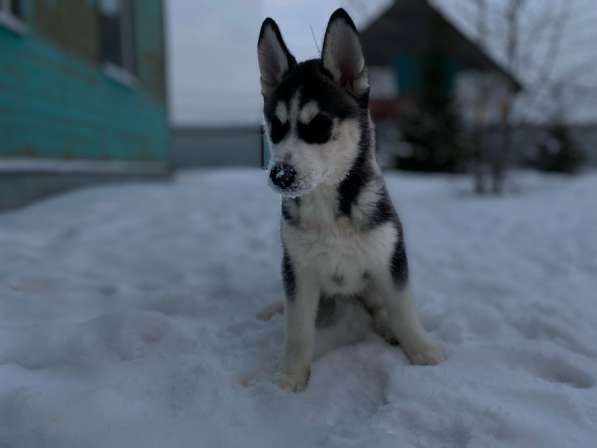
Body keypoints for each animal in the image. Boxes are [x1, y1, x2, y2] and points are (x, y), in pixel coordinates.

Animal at [256, 7, 442, 392]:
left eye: (320, 125)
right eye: (276, 127)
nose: (281, 175)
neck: (330, 209)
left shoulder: (389, 256)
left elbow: (403, 310)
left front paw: (421, 350)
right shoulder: (299, 269)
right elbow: (298, 330)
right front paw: (291, 375)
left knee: (381, 308)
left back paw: (386, 326)